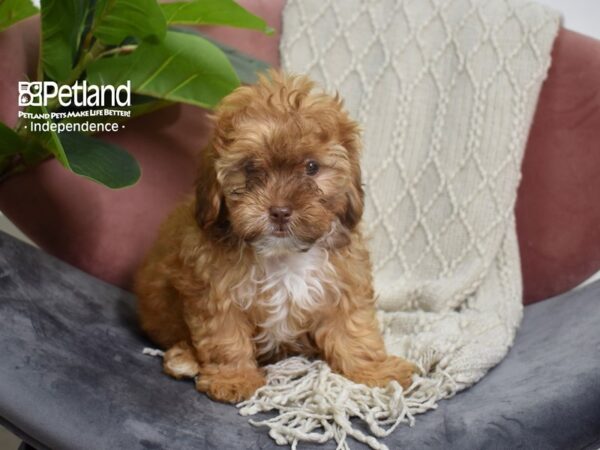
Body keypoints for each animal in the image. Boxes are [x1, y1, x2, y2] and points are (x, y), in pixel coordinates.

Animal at [135, 71, 418, 404]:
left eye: (312, 167)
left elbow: (353, 330)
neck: (284, 254)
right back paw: (184, 358)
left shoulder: (343, 284)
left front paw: (375, 370)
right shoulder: (213, 292)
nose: (280, 211)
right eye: (249, 167)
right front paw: (234, 378)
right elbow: (225, 338)